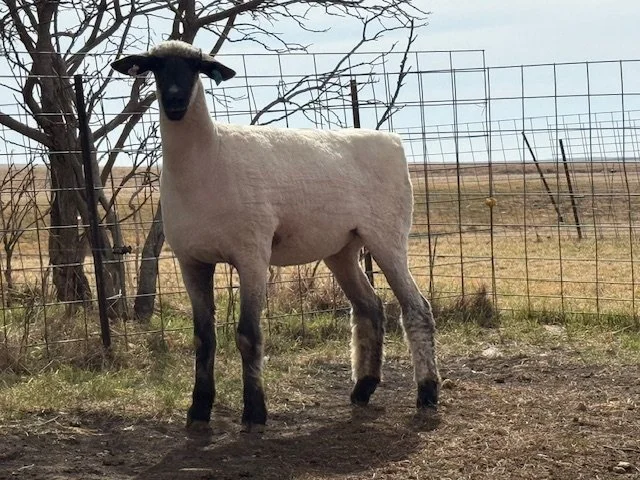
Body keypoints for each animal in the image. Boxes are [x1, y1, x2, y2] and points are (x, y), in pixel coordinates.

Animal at [111, 40, 440, 432]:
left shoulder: (252, 254)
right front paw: (198, 411)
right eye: (155, 66)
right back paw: (363, 387)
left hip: (388, 235)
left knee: (416, 308)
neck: (209, 157)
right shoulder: (192, 261)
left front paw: (254, 412)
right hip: (342, 247)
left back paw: (427, 393)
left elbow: (248, 335)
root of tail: (391, 140)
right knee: (369, 308)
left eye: (197, 67)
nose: (175, 101)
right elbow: (203, 339)